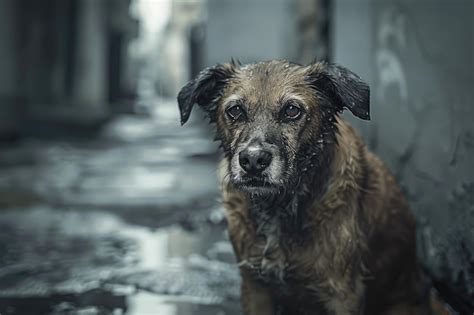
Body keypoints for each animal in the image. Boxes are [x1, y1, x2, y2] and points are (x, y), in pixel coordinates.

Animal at [177, 61, 430, 315]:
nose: (253, 160)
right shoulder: (255, 286)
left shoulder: (343, 294)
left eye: (292, 110)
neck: (279, 207)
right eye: (235, 110)